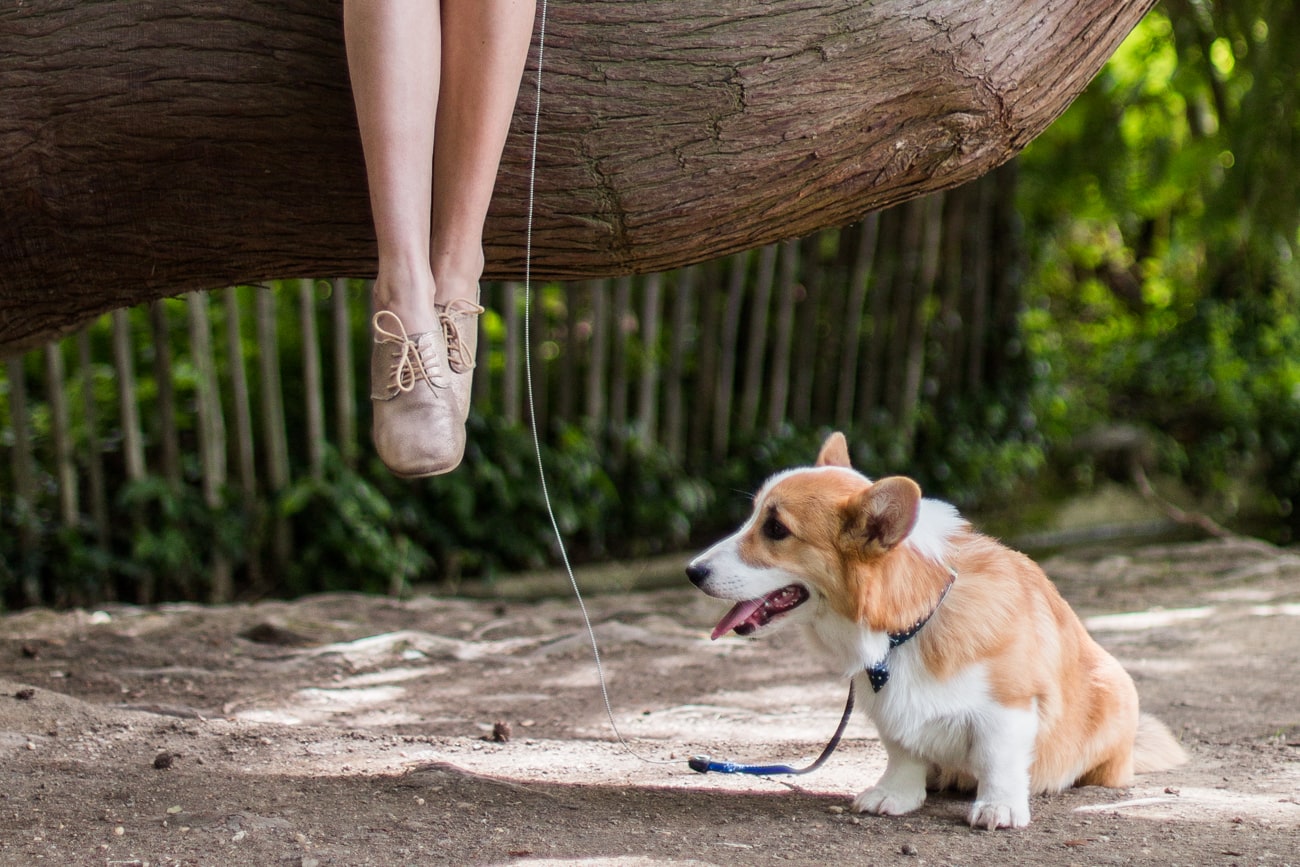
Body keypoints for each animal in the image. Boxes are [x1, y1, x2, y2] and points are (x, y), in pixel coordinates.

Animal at [691, 431, 1190, 826]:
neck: (907, 623)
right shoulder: (889, 709)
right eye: (753, 518)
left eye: (776, 529)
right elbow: (902, 752)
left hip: (1115, 692)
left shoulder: (1009, 705)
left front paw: (999, 807)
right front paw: (895, 795)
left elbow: (998, 757)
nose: (691, 572)